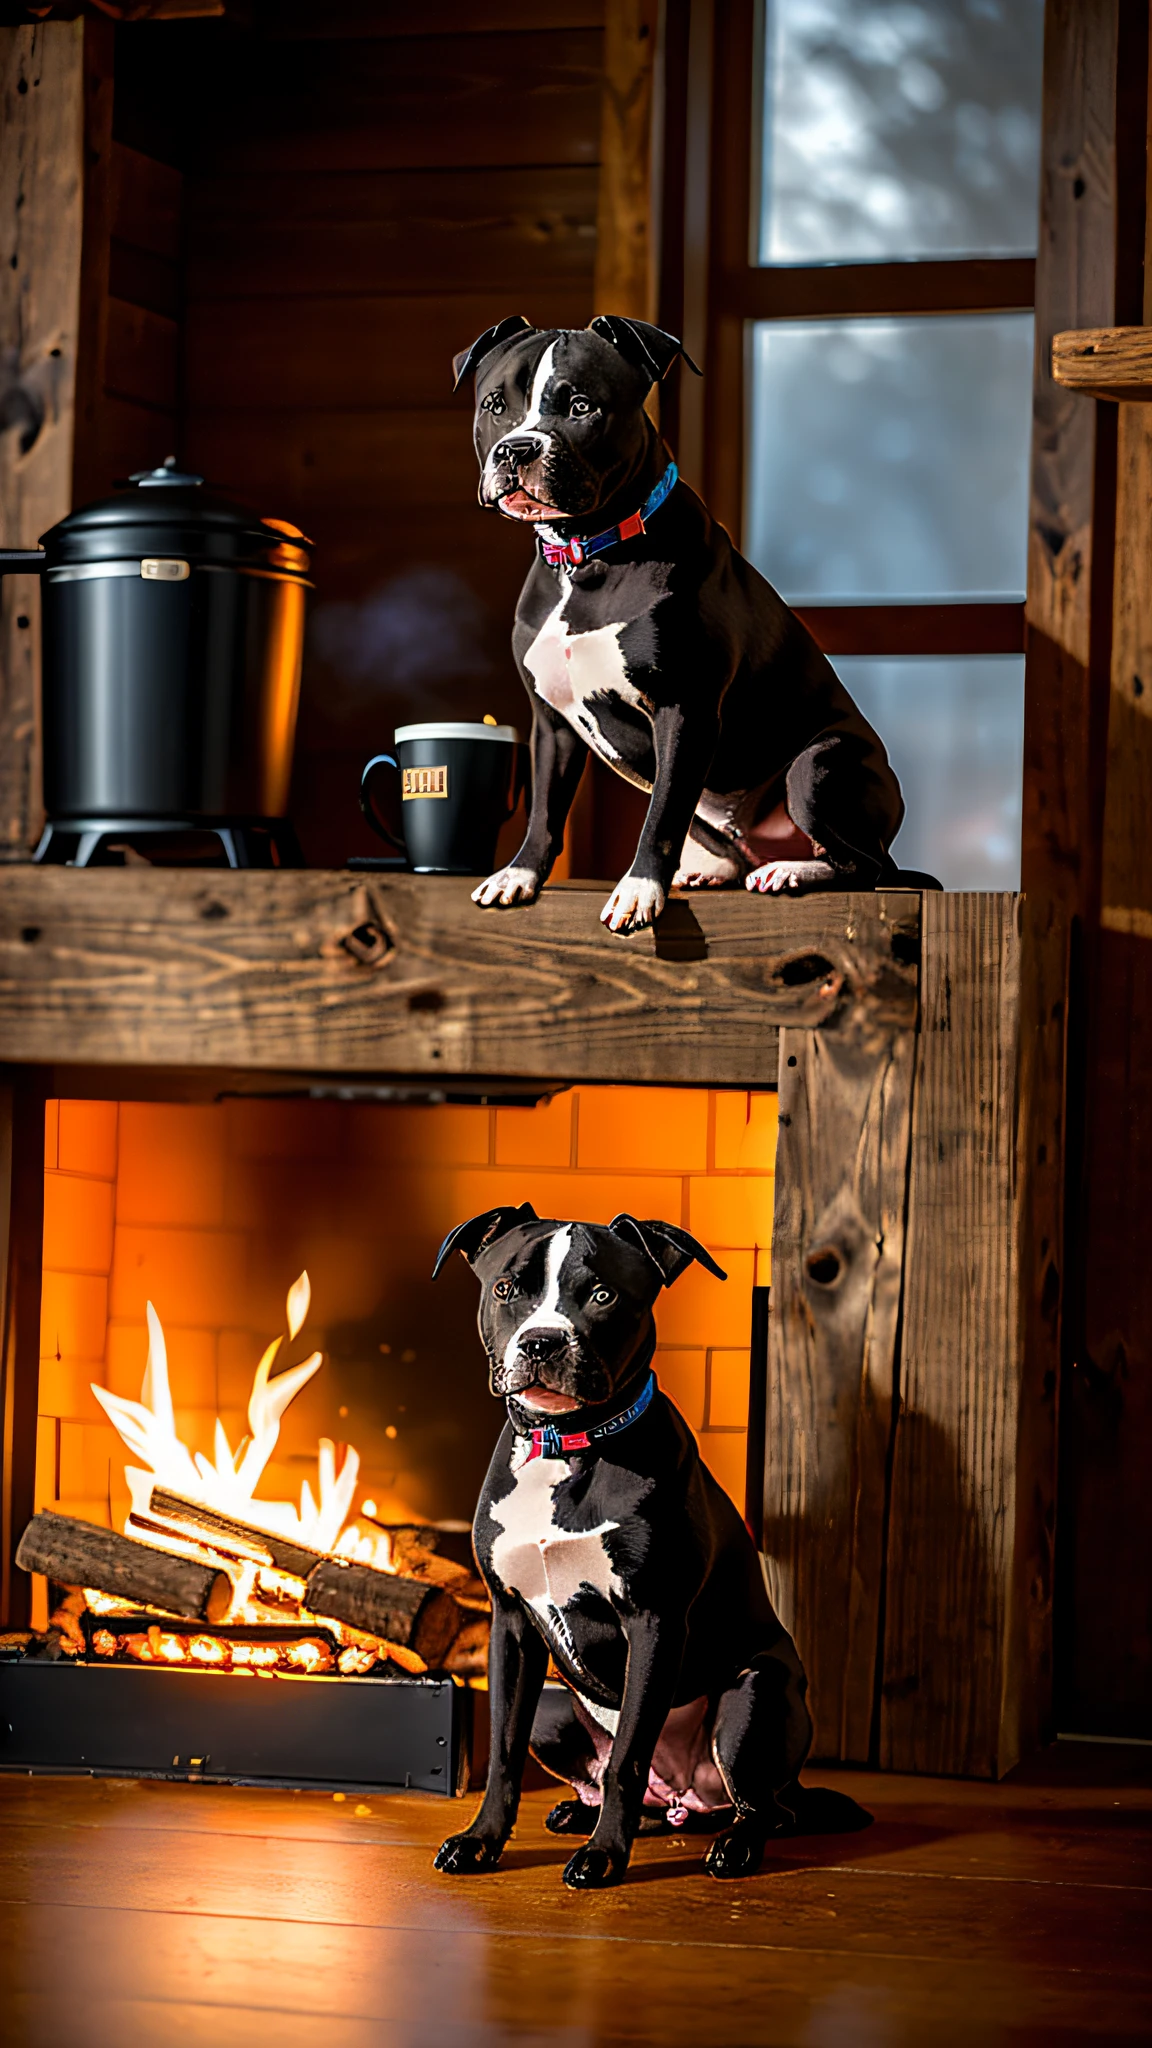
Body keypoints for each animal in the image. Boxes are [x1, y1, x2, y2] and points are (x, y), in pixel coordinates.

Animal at [430, 1196, 869, 1884]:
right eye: (506, 1289)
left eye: (602, 1294)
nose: (541, 1341)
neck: (568, 1446)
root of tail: (689, 1797)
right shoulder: (513, 1626)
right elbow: (502, 1754)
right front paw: (481, 1841)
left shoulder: (653, 1619)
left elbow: (627, 1759)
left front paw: (605, 1856)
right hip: (554, 1703)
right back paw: (578, 1813)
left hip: (755, 1696)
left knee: (766, 1807)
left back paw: (735, 1846)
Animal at [450, 311, 906, 937]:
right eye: (496, 404)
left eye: (582, 406)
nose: (517, 447)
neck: (587, 555)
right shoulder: (553, 724)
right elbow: (545, 810)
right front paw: (519, 874)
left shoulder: (683, 709)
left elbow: (662, 813)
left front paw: (640, 889)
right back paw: (718, 870)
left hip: (818, 767)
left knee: (867, 865)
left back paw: (791, 871)